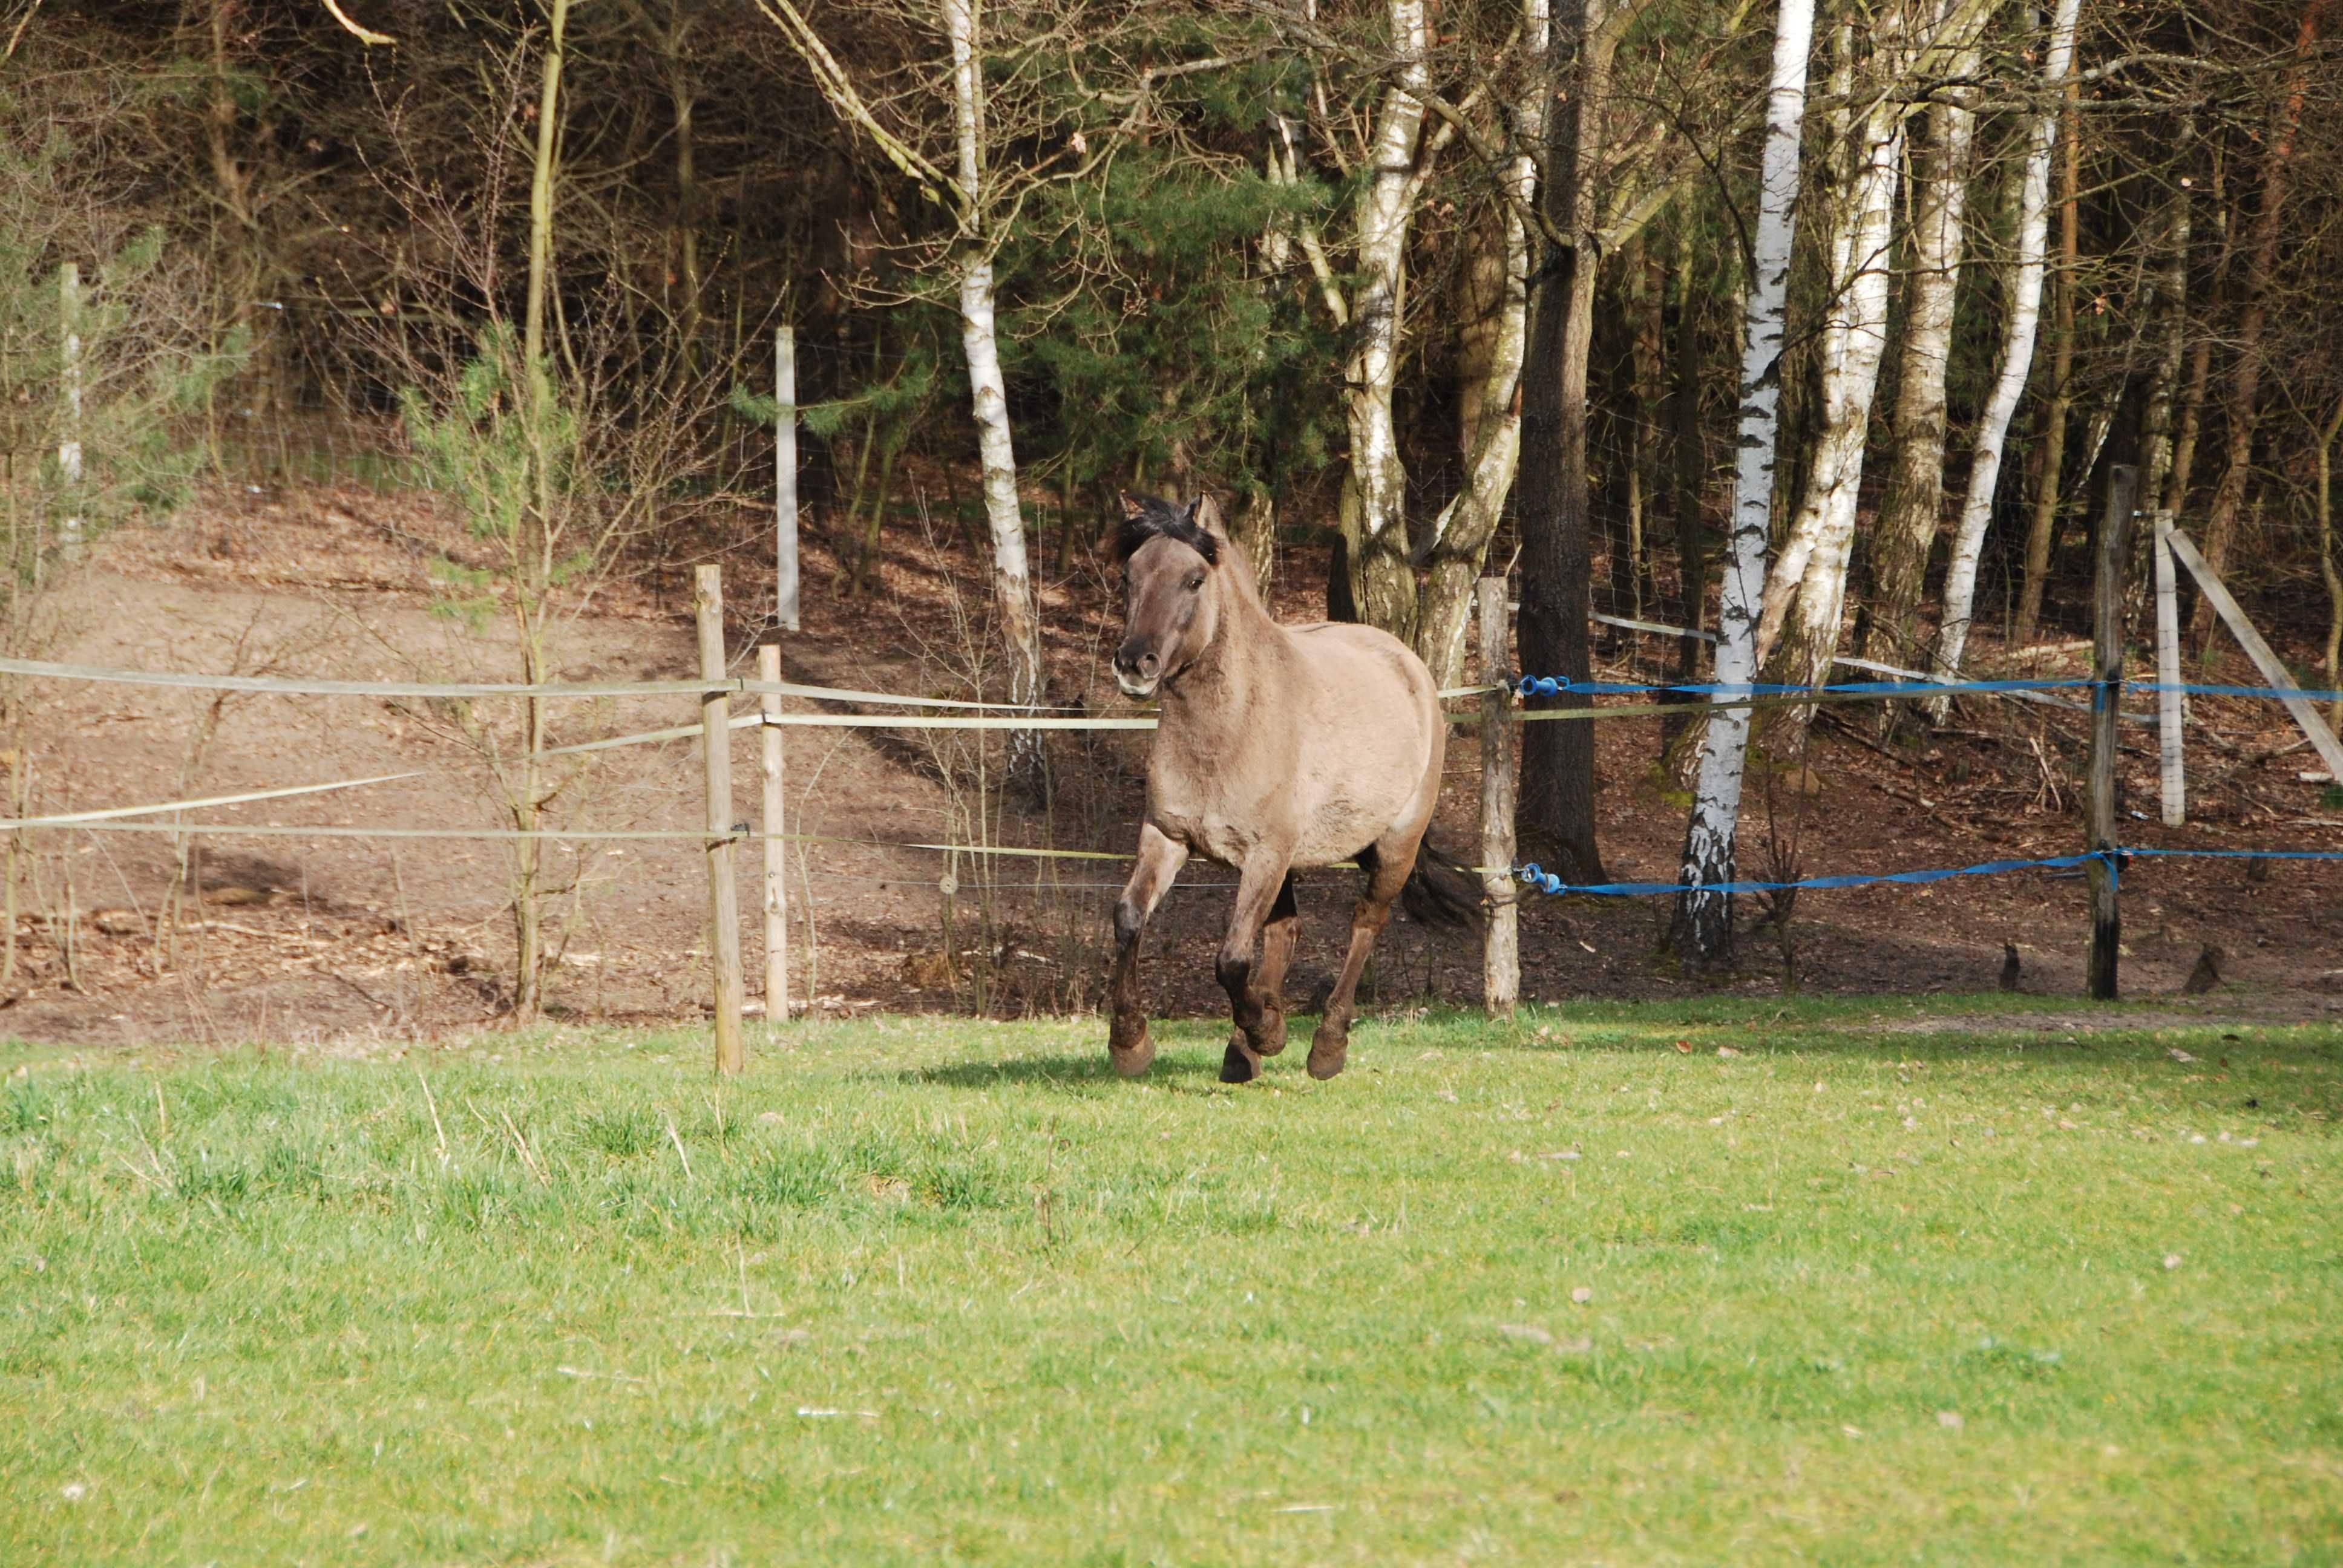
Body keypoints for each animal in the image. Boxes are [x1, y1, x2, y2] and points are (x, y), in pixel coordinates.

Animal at [1106, 494, 1471, 1082]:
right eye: (1128, 576)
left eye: (1194, 580)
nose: (1135, 664)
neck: (1230, 729)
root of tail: (1409, 664)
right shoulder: (1168, 836)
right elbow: (1129, 919)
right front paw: (1131, 1043)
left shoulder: (1266, 855)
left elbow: (1232, 959)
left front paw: (1268, 1031)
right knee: (1286, 930)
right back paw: (1245, 1050)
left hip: (1394, 847)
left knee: (1366, 923)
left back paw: (1324, 1047)